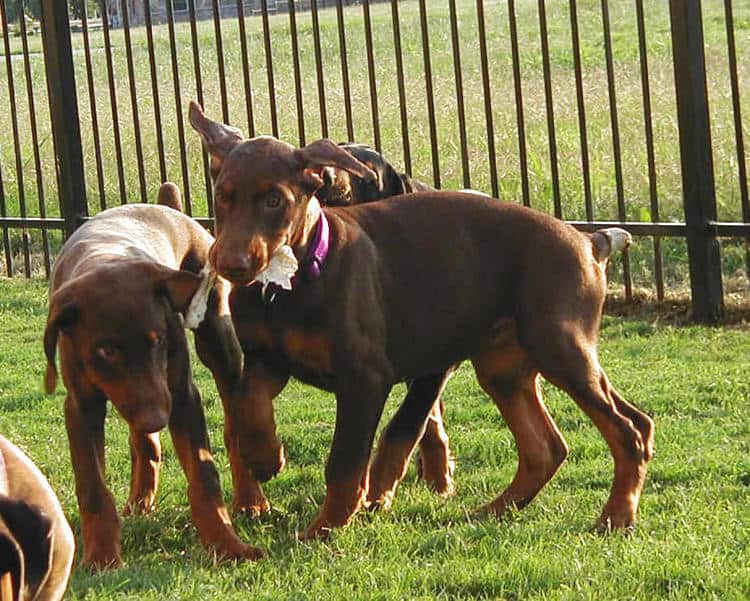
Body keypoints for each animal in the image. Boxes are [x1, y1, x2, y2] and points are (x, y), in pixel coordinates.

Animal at [43, 184, 264, 568]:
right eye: (106, 351)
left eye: (157, 340)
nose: (157, 418)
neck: (107, 257)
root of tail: (167, 206)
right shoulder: (81, 405)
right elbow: (93, 486)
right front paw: (101, 556)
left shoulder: (181, 394)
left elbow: (205, 476)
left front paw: (227, 545)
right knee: (145, 443)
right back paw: (139, 502)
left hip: (217, 341)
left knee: (236, 428)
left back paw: (250, 500)